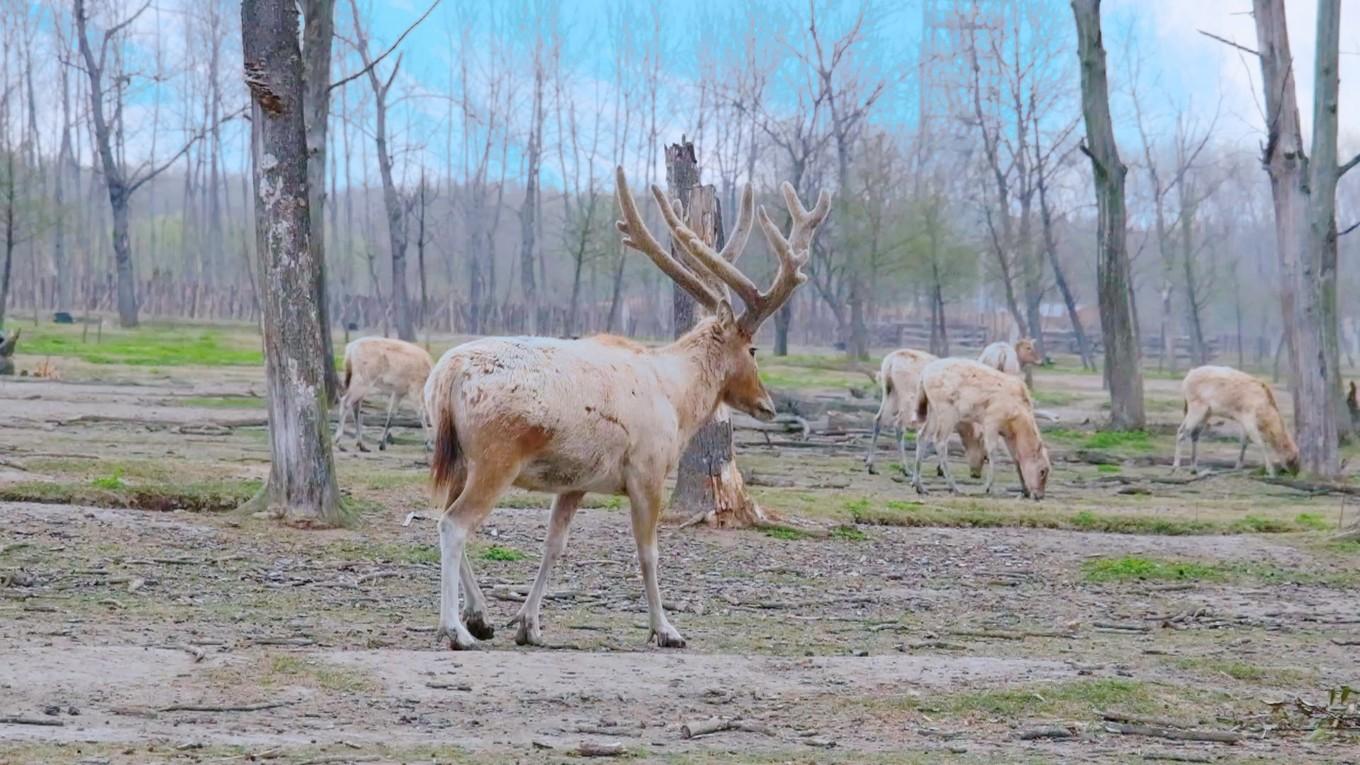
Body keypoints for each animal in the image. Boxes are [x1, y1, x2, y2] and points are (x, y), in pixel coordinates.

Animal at [424, 168, 826, 647]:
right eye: (753, 349)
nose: (767, 405)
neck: (677, 401)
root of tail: (448, 374)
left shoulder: (575, 482)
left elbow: (554, 545)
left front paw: (529, 625)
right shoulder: (647, 469)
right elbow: (648, 552)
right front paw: (666, 629)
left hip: (455, 456)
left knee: (443, 514)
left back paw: (480, 617)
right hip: (496, 457)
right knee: (454, 524)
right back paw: (455, 628)